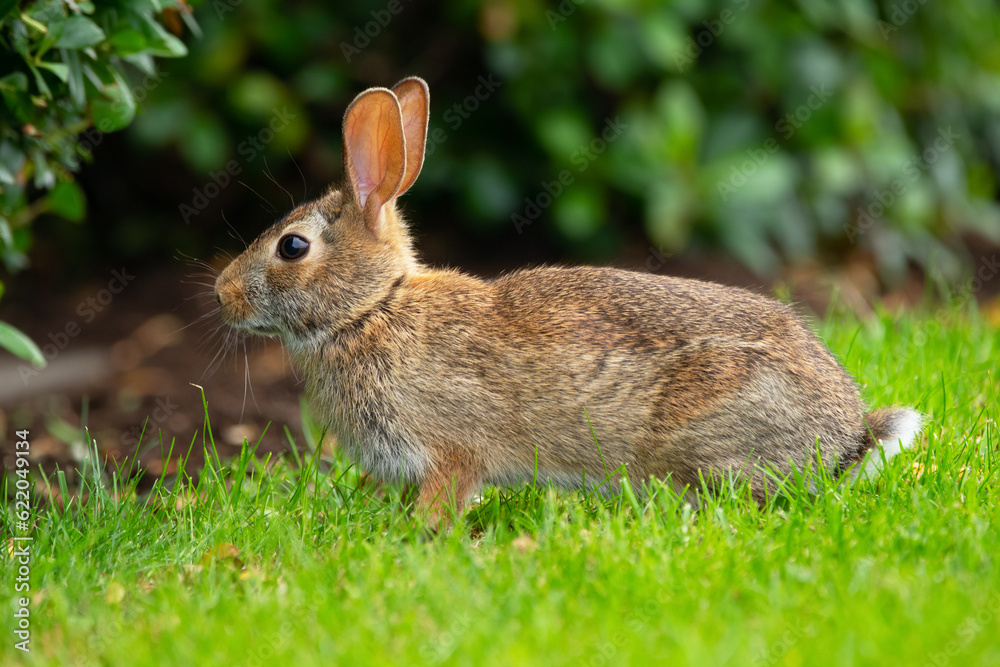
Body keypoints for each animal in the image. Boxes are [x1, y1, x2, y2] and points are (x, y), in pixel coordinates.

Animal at [214, 76, 923, 523]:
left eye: (293, 248)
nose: (222, 294)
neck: (371, 310)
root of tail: (846, 438)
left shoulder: (452, 449)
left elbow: (446, 496)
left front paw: (415, 537)